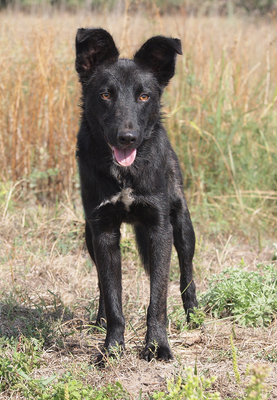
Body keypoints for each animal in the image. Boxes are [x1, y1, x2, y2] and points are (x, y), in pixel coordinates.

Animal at [74, 26, 197, 360]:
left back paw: (194, 315)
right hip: (89, 237)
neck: (126, 174)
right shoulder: (103, 231)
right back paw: (100, 320)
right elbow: (112, 292)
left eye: (144, 96)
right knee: (102, 283)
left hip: (182, 224)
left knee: (187, 272)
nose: (126, 138)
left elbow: (158, 299)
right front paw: (112, 348)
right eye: (105, 94)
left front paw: (157, 346)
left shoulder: (159, 229)